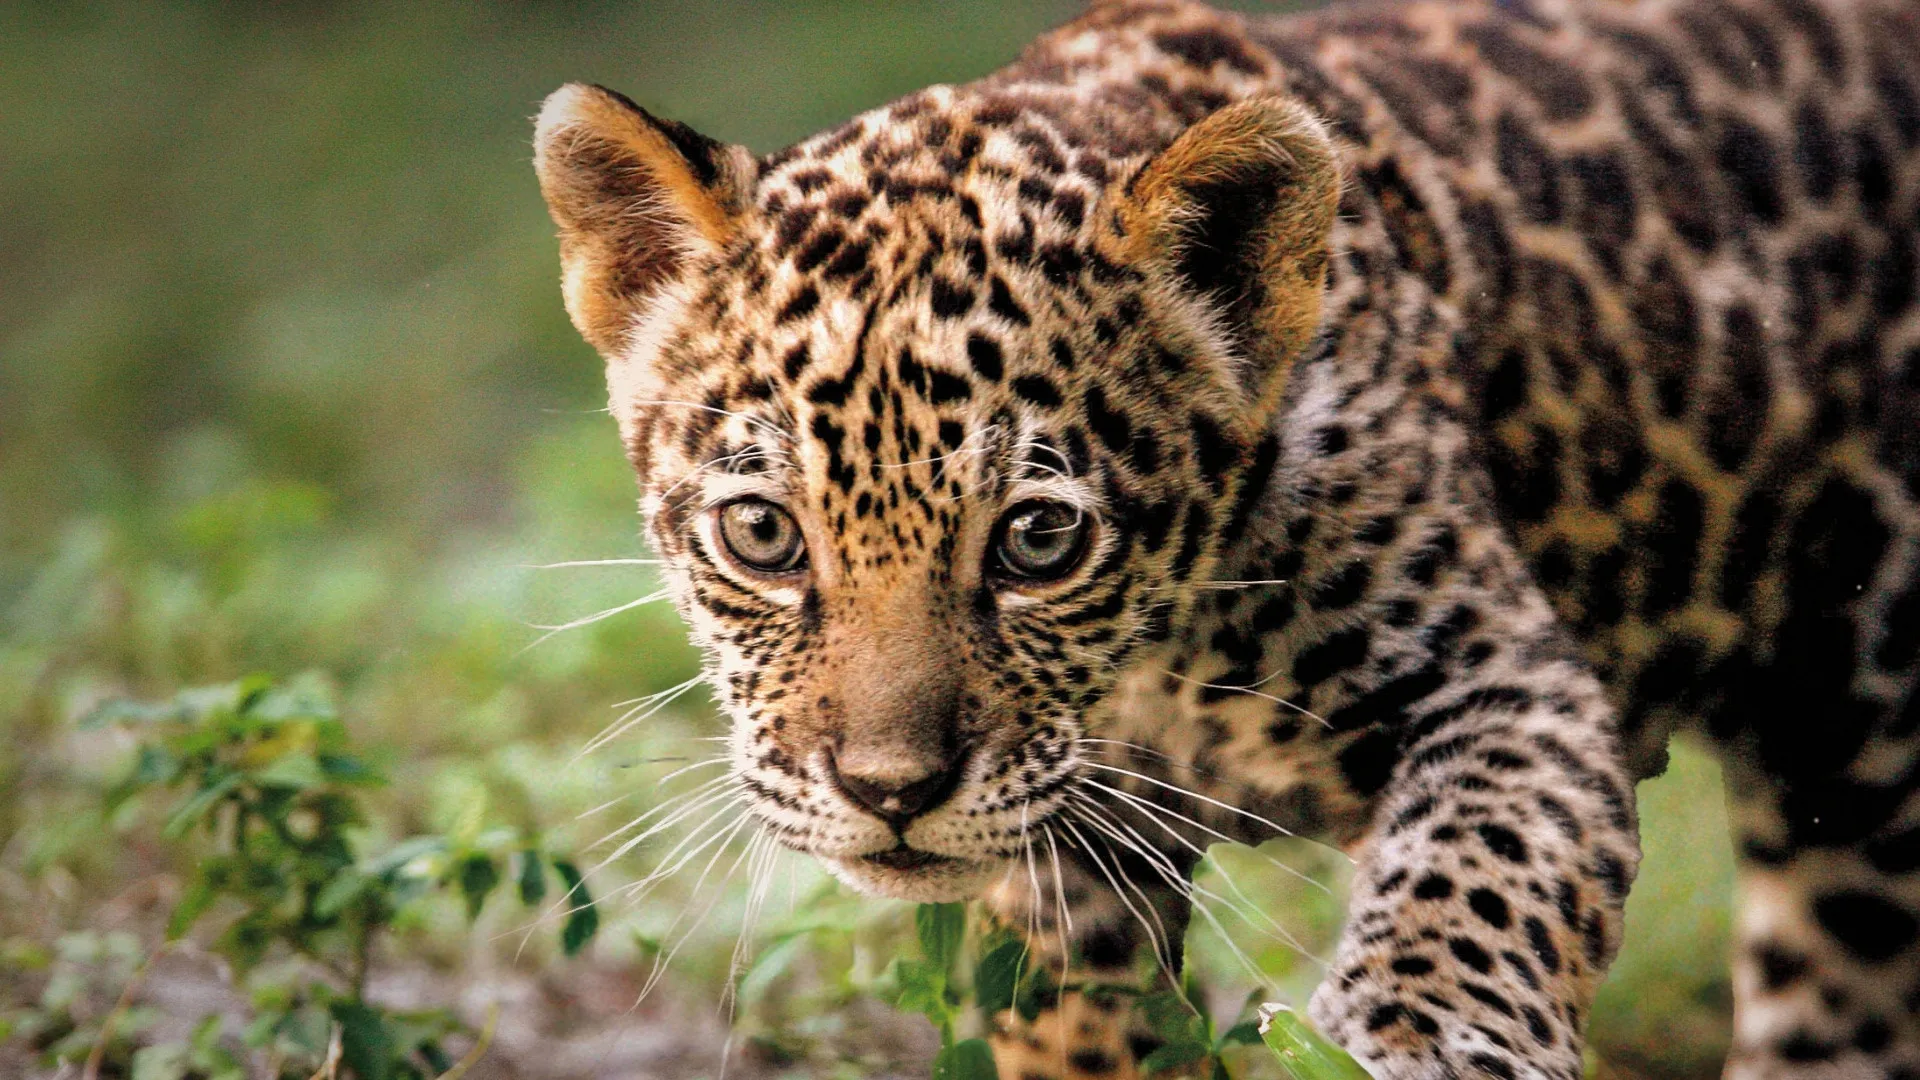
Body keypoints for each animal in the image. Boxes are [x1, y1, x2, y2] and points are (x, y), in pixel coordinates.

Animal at [527, 0, 1920, 1075]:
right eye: (763, 532)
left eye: (1038, 542)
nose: (891, 794)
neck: (1159, 661)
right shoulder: (1071, 848)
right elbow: (1073, 1013)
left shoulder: (1508, 686)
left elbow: (1469, 886)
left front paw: (1408, 1043)